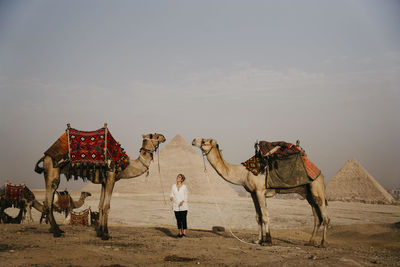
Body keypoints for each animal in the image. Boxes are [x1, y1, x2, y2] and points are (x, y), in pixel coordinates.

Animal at [34, 127, 166, 241]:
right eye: (152, 135)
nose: (163, 137)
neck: (125, 165)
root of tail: (45, 156)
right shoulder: (111, 177)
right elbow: (107, 206)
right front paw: (106, 234)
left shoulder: (104, 181)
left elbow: (100, 206)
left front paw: (100, 232)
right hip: (53, 171)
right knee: (49, 200)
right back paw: (56, 232)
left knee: (48, 201)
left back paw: (56, 230)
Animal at [192, 139, 330, 248]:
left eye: (204, 141)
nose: (193, 140)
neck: (243, 173)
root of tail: (320, 173)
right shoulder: (253, 193)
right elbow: (258, 217)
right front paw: (258, 240)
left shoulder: (260, 191)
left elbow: (265, 216)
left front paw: (267, 241)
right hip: (307, 193)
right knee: (317, 217)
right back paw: (310, 242)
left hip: (316, 187)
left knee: (325, 217)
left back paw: (323, 243)